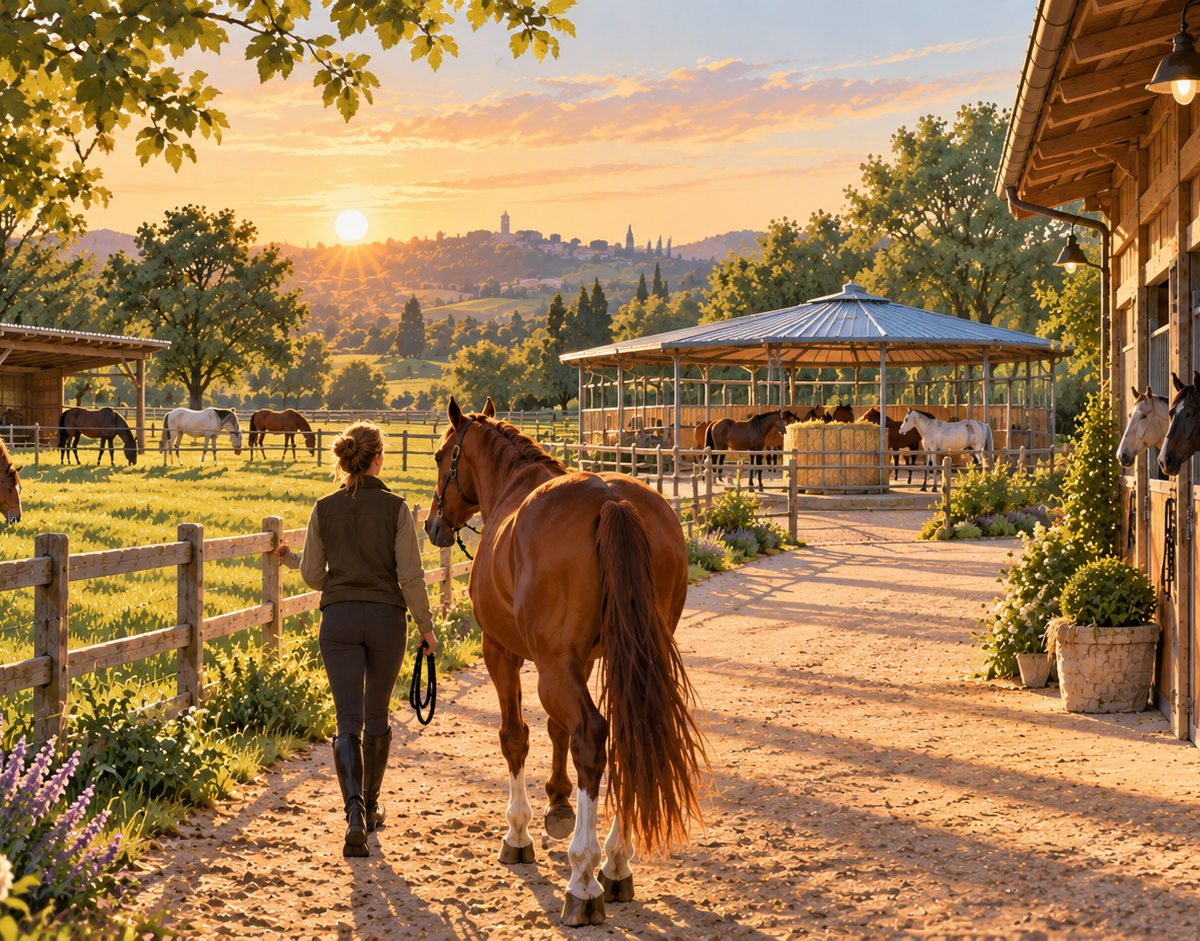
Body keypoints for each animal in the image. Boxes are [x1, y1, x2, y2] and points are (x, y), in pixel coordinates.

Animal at [425, 397, 708, 926]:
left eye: (439, 456)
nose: (433, 524)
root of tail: (612, 501)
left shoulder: (505, 653)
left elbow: (516, 737)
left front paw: (519, 832)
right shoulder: (584, 660)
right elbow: (558, 729)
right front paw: (558, 802)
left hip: (553, 664)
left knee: (592, 738)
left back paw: (584, 877)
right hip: (625, 657)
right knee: (622, 736)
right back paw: (615, 862)